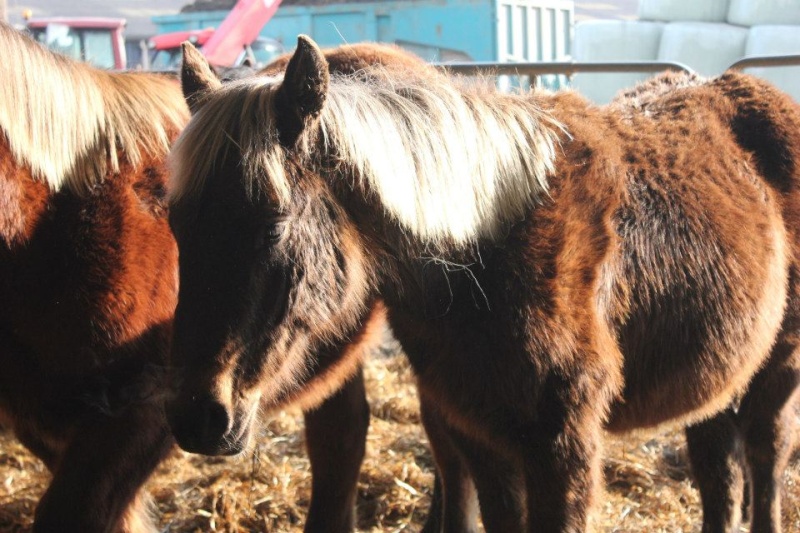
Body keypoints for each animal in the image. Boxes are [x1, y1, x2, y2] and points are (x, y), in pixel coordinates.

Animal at [167, 35, 800, 528]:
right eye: (176, 223)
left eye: (273, 225)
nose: (199, 417)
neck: (484, 247)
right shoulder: (481, 439)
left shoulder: (561, 450)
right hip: (718, 375)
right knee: (719, 471)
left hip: (779, 370)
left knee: (765, 460)